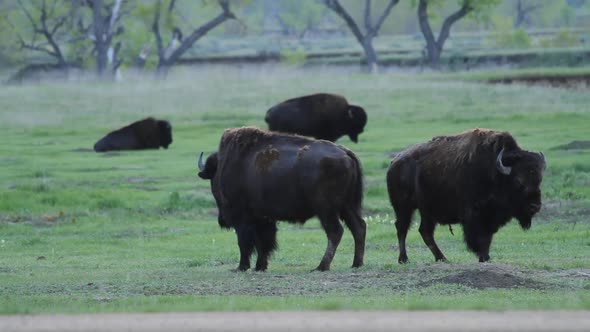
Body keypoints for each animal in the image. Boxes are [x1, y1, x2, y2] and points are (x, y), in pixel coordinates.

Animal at [198, 126, 366, 272]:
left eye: (213, 179)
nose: (222, 220)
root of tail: (345, 153)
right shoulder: (263, 218)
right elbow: (263, 243)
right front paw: (260, 266)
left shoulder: (243, 218)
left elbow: (244, 242)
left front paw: (241, 267)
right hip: (347, 206)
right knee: (359, 227)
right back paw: (356, 264)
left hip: (326, 209)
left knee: (335, 231)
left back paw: (321, 267)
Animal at [386, 128, 548, 264]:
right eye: (518, 181)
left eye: (539, 180)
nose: (535, 206)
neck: (495, 172)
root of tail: (394, 162)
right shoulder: (474, 215)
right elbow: (480, 237)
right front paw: (482, 257)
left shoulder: (489, 217)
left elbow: (487, 237)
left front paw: (485, 257)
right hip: (404, 207)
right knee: (402, 228)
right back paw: (404, 259)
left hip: (426, 211)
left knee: (425, 231)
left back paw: (442, 258)